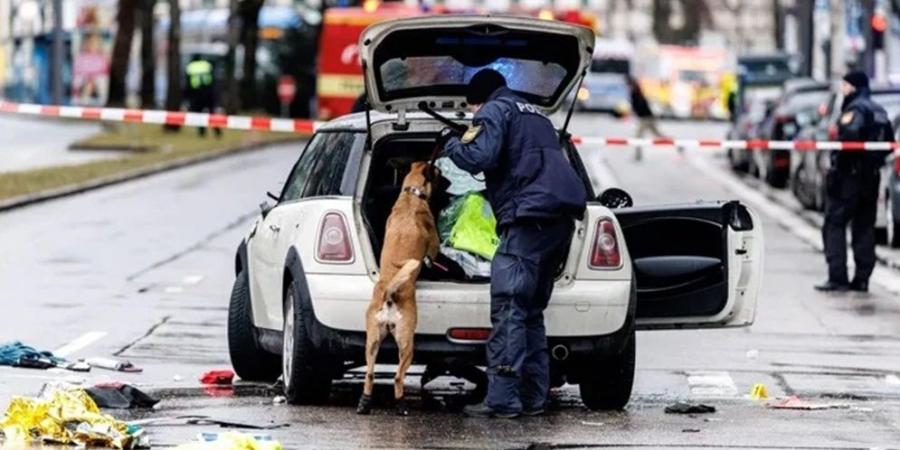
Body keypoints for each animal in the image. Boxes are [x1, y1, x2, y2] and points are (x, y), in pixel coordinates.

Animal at [358, 161, 442, 414]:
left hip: (372, 341)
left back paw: (364, 402)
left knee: (370, 374)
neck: (411, 196)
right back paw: (401, 405)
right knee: (397, 377)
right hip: (407, 344)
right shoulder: (433, 246)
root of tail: (389, 294)